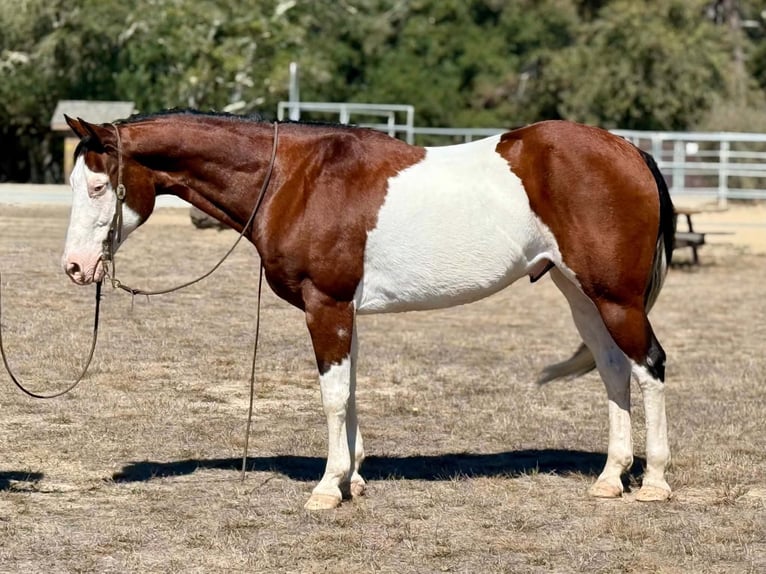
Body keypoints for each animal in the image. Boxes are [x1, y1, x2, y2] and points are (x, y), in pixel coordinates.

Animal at [61, 111, 675, 510]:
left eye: (97, 187)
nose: (74, 266)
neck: (293, 177)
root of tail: (629, 150)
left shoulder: (325, 306)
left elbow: (333, 395)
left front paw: (327, 488)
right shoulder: (344, 311)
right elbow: (351, 389)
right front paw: (353, 480)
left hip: (615, 298)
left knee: (649, 367)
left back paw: (654, 482)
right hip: (582, 295)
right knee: (614, 370)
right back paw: (610, 477)